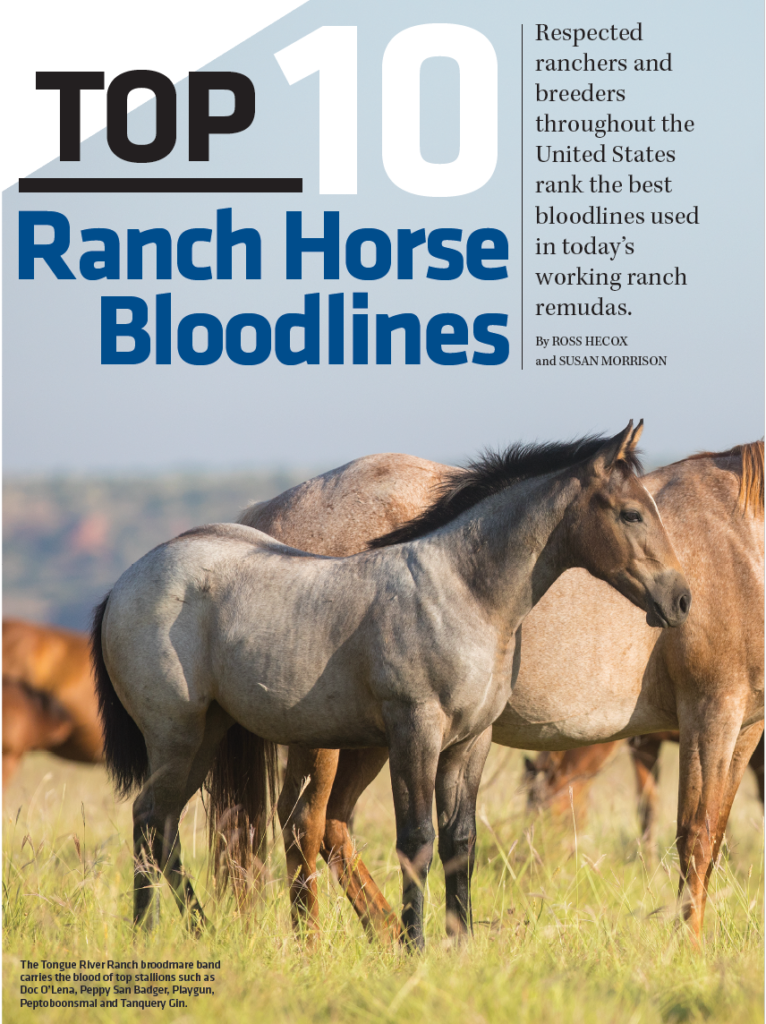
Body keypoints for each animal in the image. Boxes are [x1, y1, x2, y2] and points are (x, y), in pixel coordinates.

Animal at [92, 422, 690, 947]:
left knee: (162, 825)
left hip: (208, 734)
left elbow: (460, 842)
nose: (681, 599)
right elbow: (417, 840)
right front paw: (415, 945)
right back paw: (146, 936)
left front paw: (460, 945)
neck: (462, 591)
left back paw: (197, 932)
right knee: (150, 820)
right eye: (631, 513)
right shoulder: (415, 731)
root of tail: (124, 582)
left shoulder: (470, 742)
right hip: (176, 735)